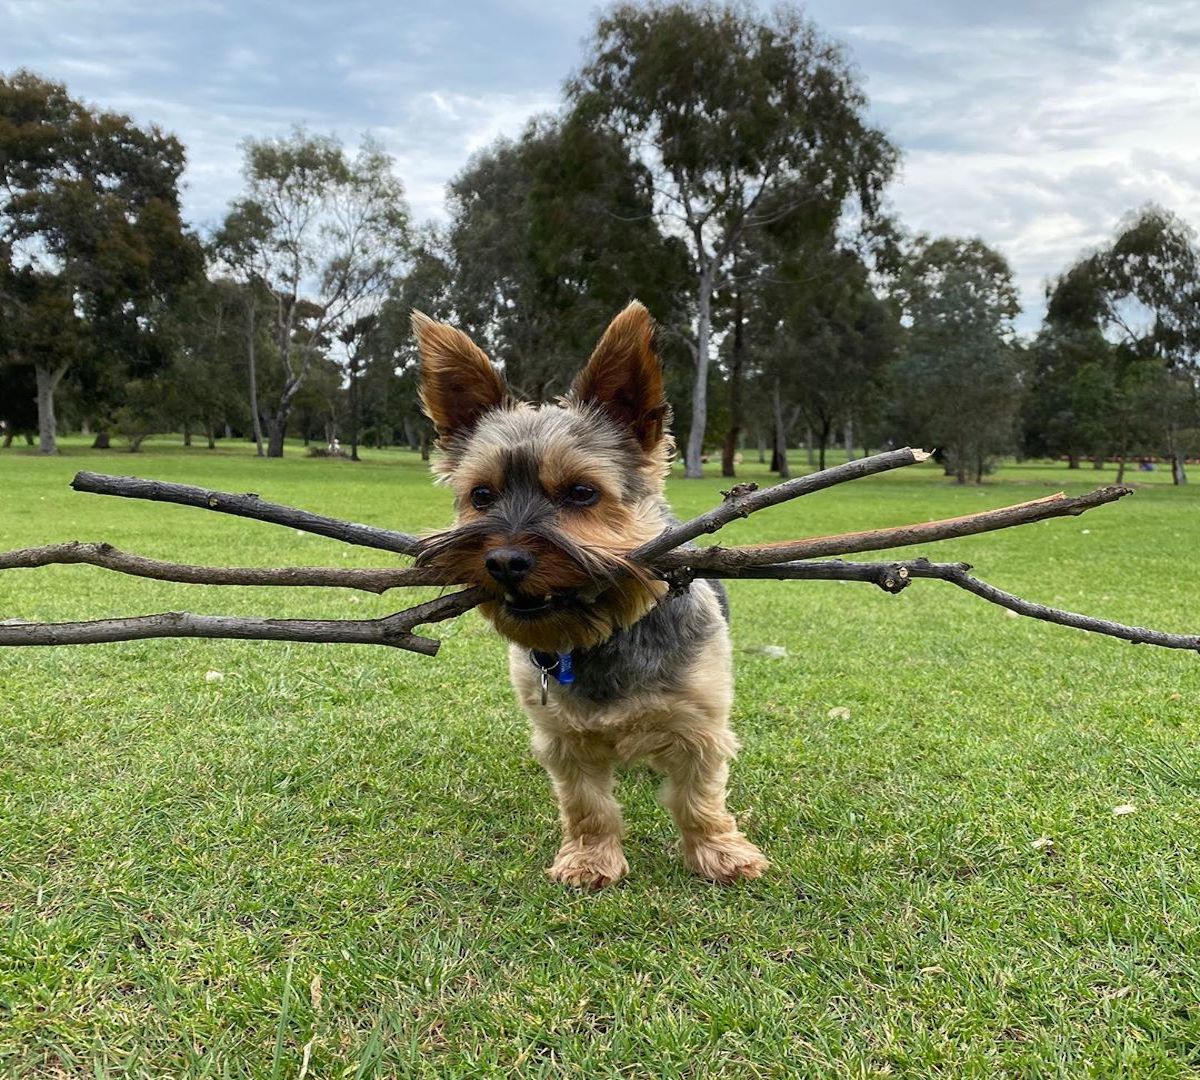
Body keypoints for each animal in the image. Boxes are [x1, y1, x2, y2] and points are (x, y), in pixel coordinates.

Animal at [412, 297, 768, 888]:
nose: (504, 561)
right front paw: (590, 859)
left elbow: (699, 799)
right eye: (481, 495)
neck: (603, 634)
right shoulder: (563, 739)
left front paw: (719, 853)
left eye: (581, 492)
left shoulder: (699, 726)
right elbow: (587, 804)